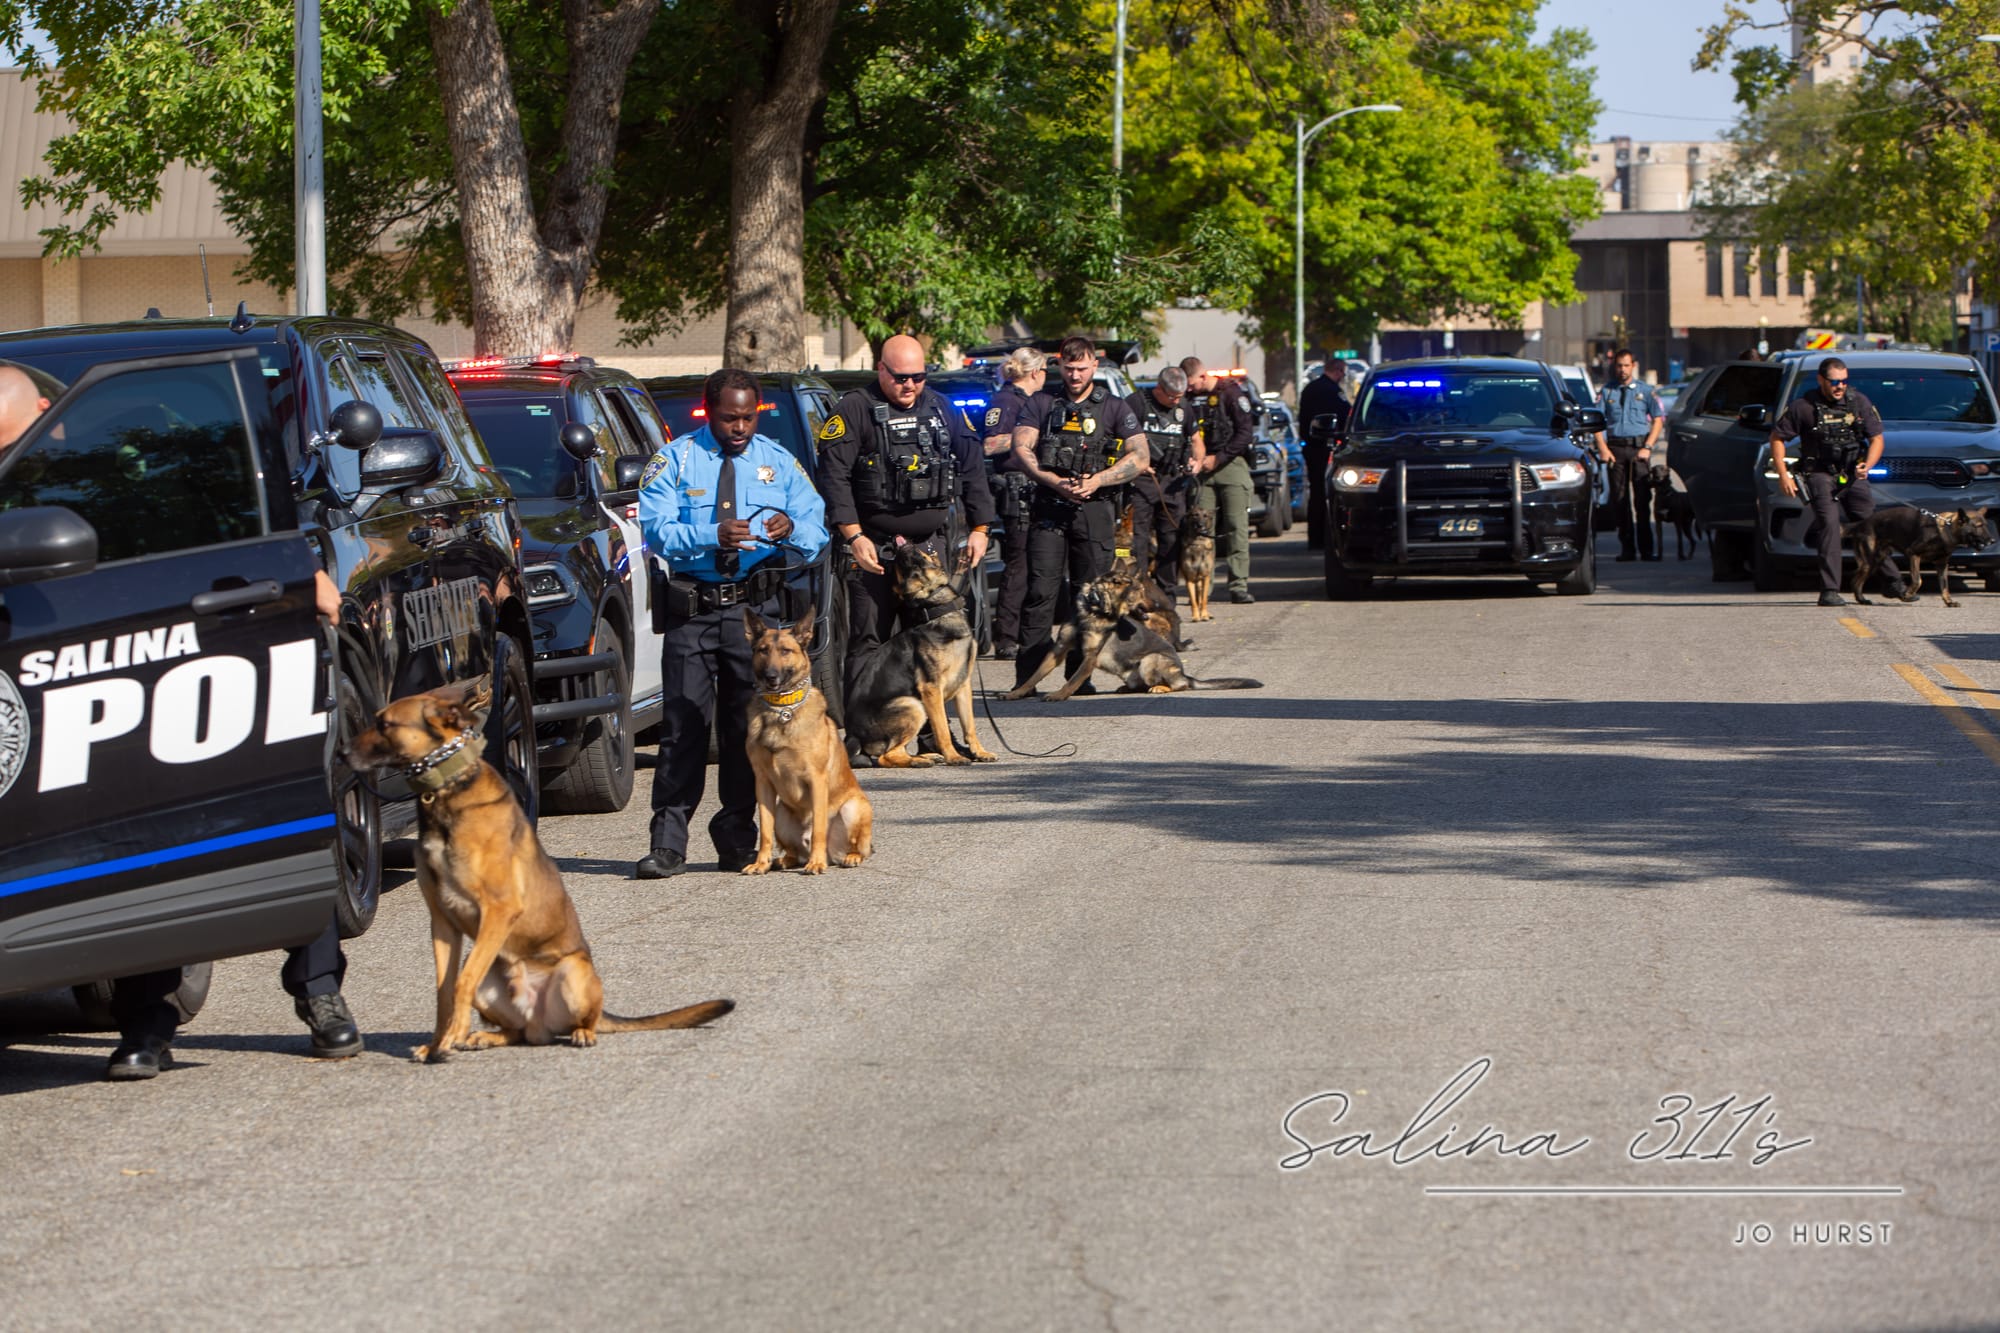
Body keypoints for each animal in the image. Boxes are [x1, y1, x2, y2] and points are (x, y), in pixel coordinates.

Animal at [346, 679, 732, 1061]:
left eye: (384, 724)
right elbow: (444, 989)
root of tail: (537, 1019)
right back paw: (483, 1037)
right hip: (494, 980)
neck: (447, 788)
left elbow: (461, 982)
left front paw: (450, 1037)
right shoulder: (443, 922)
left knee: (584, 1020)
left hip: (572, 973)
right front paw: (441, 1040)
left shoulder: (498, 909)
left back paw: (580, 1033)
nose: (341, 755)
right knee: (518, 1033)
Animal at [743, 608, 876, 871]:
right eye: (763, 650)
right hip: (781, 813)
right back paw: (785, 859)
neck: (781, 709)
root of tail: (834, 855)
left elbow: (819, 830)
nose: (771, 676)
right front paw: (760, 863)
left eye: (786, 651)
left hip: (854, 807)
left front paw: (816, 863)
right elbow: (765, 832)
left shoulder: (816, 779)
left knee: (855, 845)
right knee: (792, 849)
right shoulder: (762, 783)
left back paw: (847, 857)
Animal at [839, 546, 997, 768]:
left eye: (901, 565)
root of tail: (852, 736)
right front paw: (954, 756)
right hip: (913, 705)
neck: (937, 612)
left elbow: (970, 726)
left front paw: (979, 752)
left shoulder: (963, 685)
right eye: (907, 569)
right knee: (887, 756)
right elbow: (942, 729)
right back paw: (919, 761)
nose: (902, 548)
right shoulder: (931, 689)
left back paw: (927, 756)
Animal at [1004, 572, 1262, 701]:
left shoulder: (1090, 657)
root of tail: (1184, 673)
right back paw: (1127, 689)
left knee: (1180, 685)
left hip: (1150, 661)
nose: (1157, 605)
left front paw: (1059, 695)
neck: (1094, 608)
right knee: (1143, 685)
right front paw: (1016, 693)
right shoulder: (1058, 650)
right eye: (1139, 592)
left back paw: (1162, 688)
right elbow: (1034, 676)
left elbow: (1072, 680)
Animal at [1850, 505, 1994, 608]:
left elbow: (1945, 586)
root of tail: (1862, 523)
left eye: (1986, 525)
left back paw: (1861, 600)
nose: (1992, 541)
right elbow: (1917, 580)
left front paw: (1949, 602)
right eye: (1978, 526)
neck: (1945, 530)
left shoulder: (1942, 565)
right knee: (1856, 580)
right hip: (1870, 561)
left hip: (1877, 560)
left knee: (1858, 579)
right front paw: (1907, 595)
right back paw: (1861, 599)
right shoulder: (1913, 554)